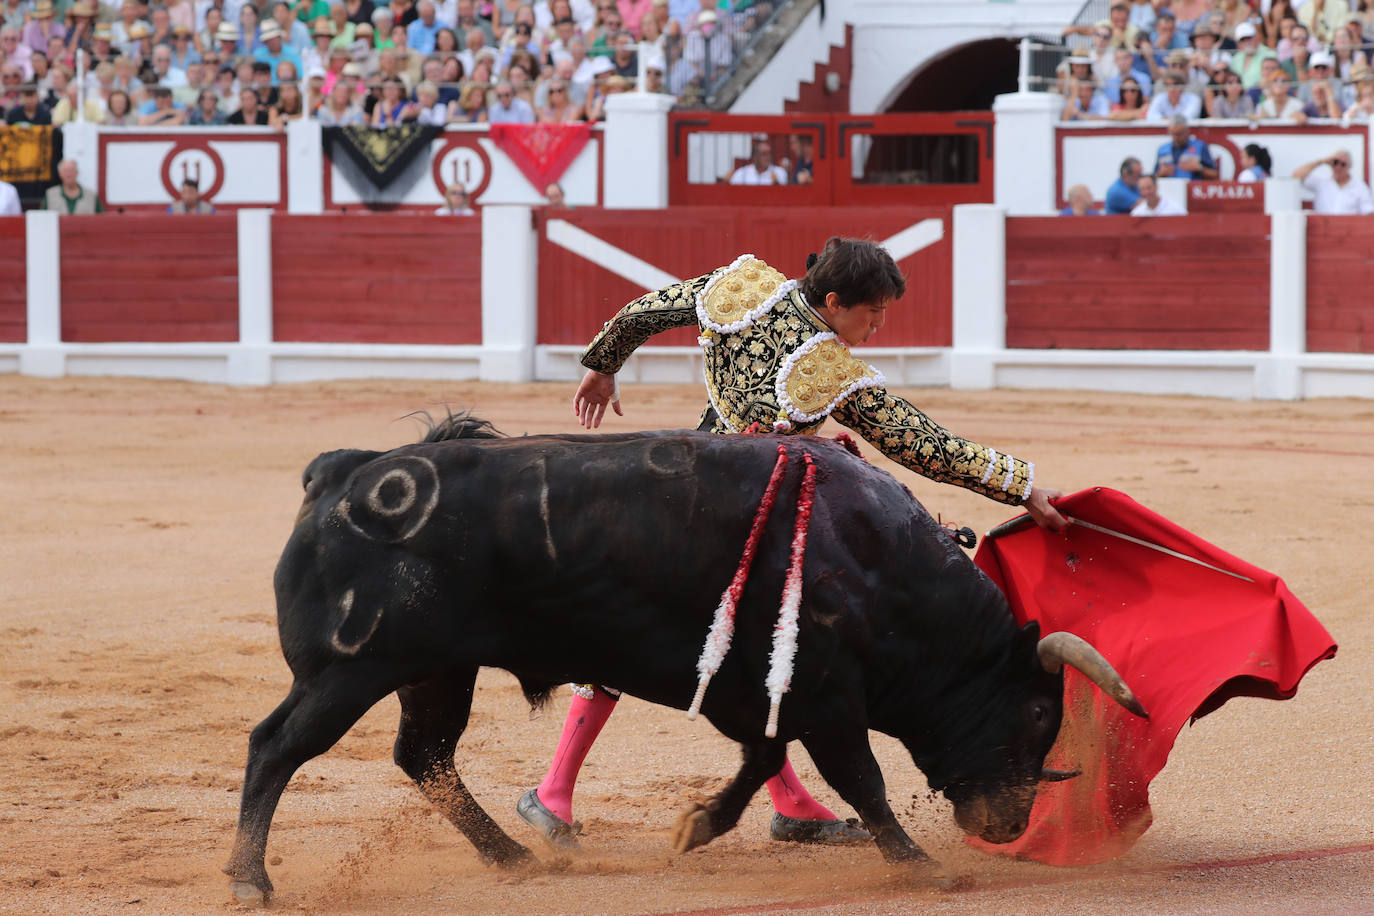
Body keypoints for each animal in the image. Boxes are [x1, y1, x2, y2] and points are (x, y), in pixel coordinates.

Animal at [225, 420, 1143, 900]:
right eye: (1037, 712)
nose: (1007, 824)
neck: (883, 566)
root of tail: (344, 476)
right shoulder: (827, 696)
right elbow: (863, 779)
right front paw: (920, 866)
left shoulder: (758, 694)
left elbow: (762, 760)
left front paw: (696, 826)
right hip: (348, 671)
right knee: (277, 748)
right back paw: (250, 881)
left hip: (433, 672)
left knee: (425, 755)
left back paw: (512, 856)